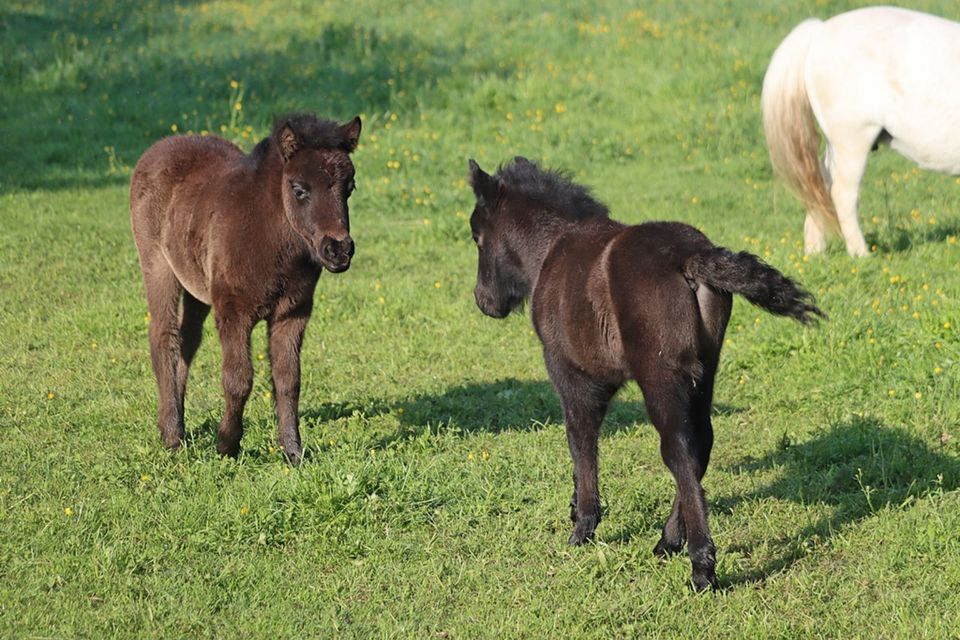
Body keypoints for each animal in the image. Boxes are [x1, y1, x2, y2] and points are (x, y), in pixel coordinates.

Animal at [768, 6, 960, 258]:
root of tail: (819, 32)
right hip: (852, 141)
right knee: (842, 195)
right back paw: (860, 254)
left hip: (835, 146)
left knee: (820, 187)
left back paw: (816, 252)